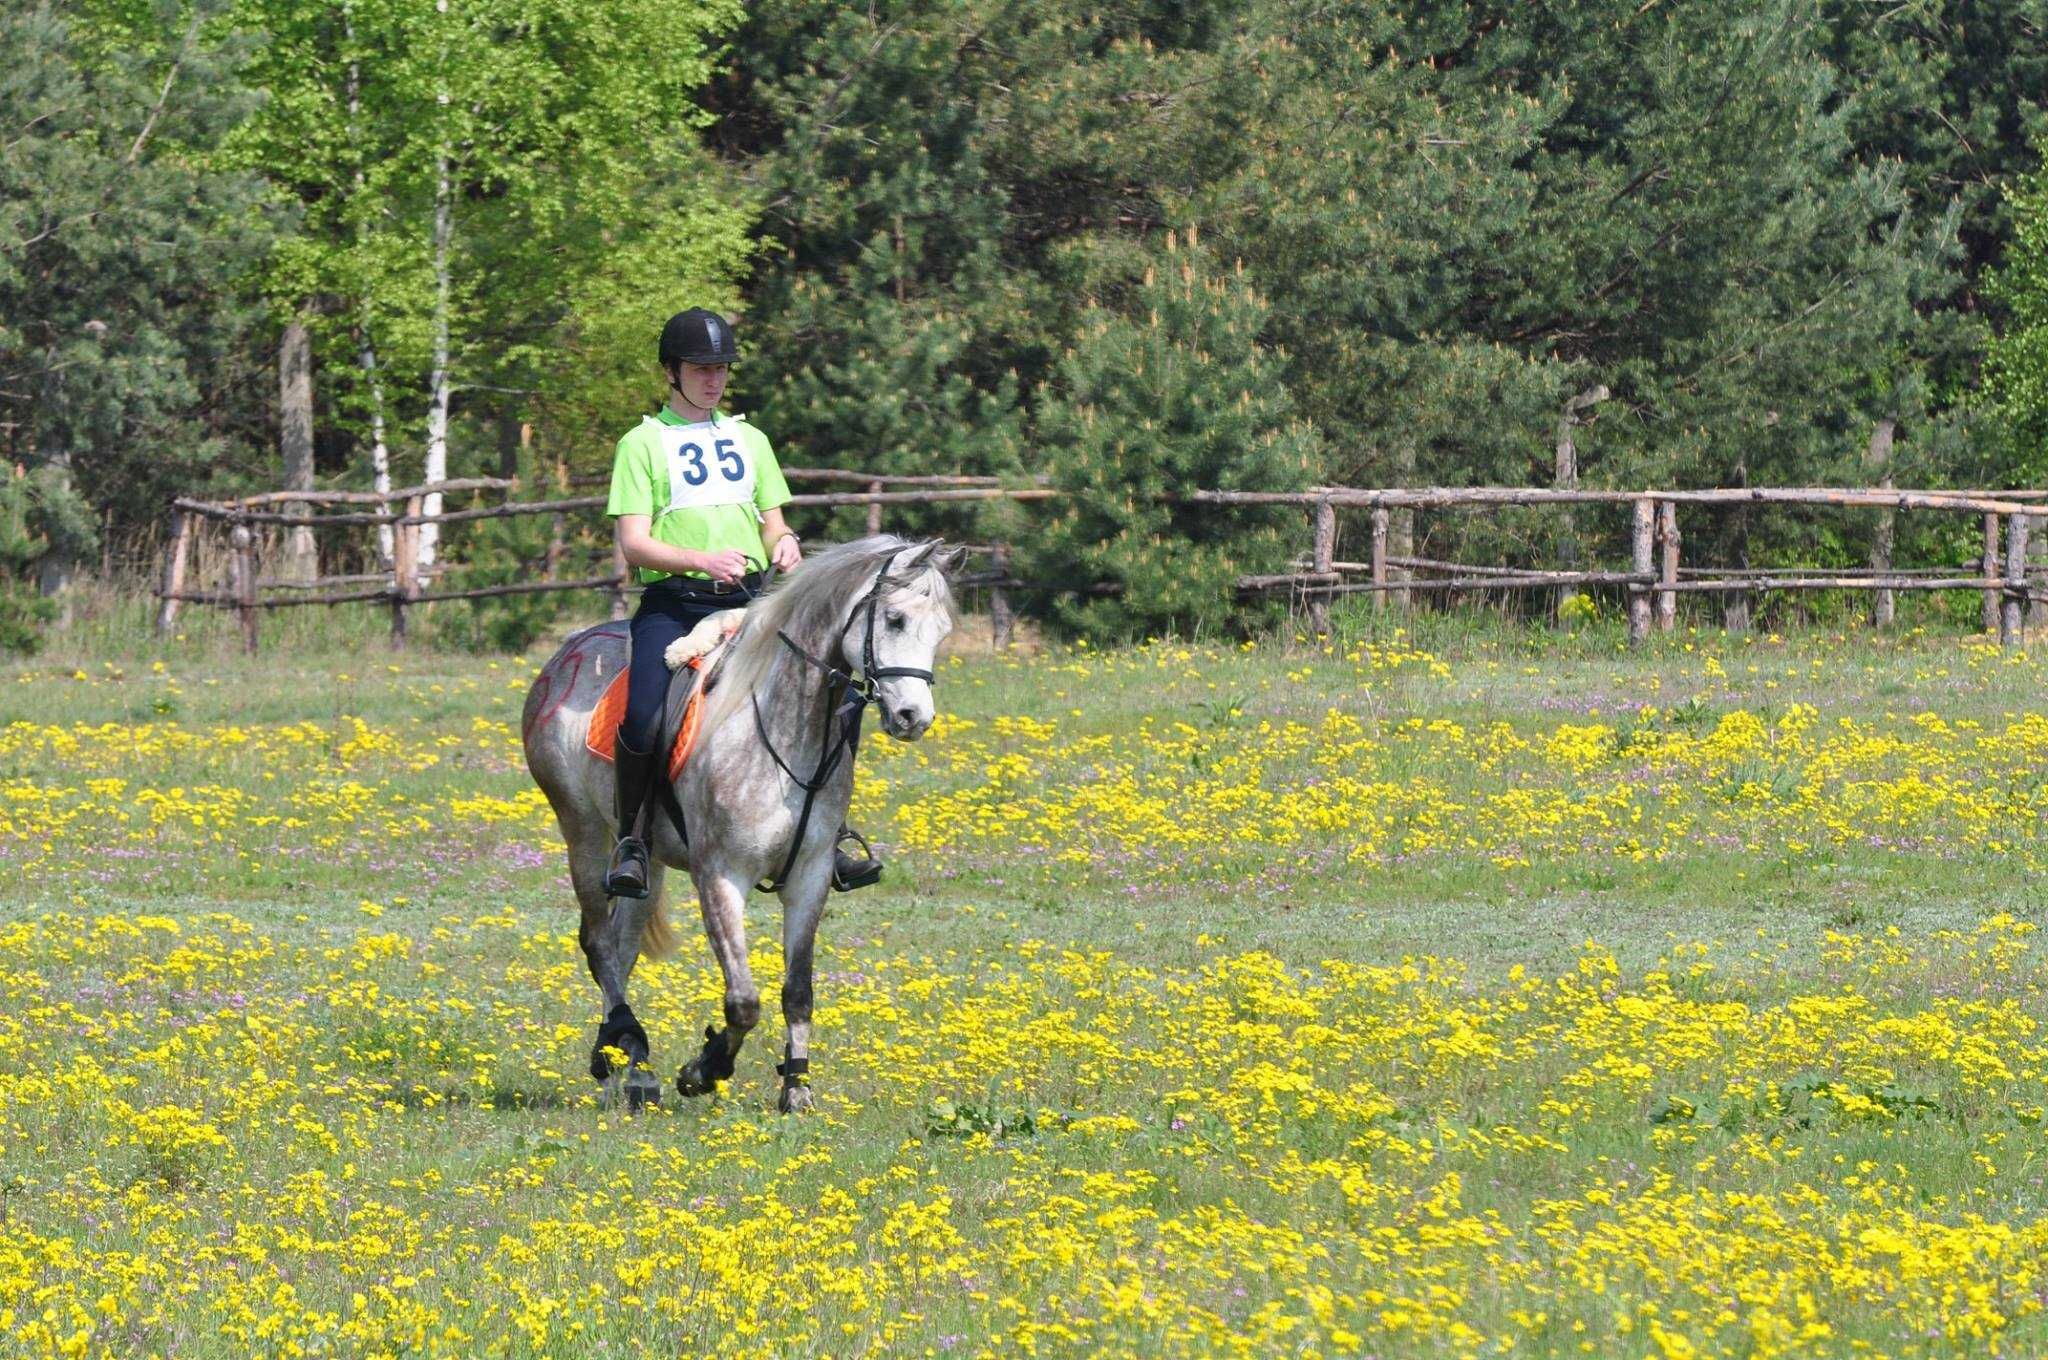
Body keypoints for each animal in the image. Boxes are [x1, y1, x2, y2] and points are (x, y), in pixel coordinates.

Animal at [516, 536, 954, 1114]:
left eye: (942, 631)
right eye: (896, 619)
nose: (913, 718)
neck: (784, 732)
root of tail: (567, 654)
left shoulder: (811, 877)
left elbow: (798, 989)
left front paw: (796, 1088)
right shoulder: (721, 876)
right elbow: (743, 1000)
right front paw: (705, 1069)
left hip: (646, 856)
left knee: (623, 941)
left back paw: (630, 1067)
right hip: (582, 832)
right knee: (599, 944)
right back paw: (623, 1048)